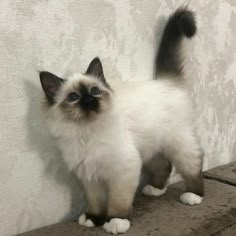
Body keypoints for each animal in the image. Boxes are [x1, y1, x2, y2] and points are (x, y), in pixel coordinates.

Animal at [39, 6, 204, 234]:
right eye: (73, 97)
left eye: (95, 91)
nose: (89, 100)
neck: (86, 131)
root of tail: (165, 81)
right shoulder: (89, 174)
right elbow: (97, 201)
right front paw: (93, 219)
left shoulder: (124, 169)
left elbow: (117, 202)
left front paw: (116, 222)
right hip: (151, 149)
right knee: (164, 166)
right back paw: (155, 190)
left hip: (178, 145)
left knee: (194, 164)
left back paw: (193, 195)